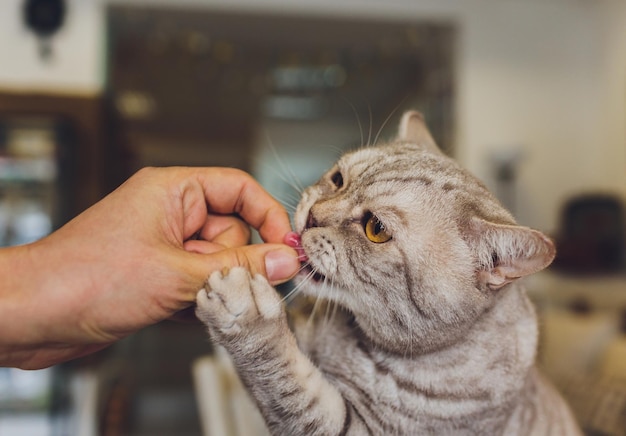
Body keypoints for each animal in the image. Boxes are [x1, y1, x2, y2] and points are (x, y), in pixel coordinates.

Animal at [195, 110, 580, 434]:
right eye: (338, 179)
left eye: (375, 228)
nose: (311, 217)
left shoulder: (360, 428)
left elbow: (289, 386)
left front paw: (246, 317)